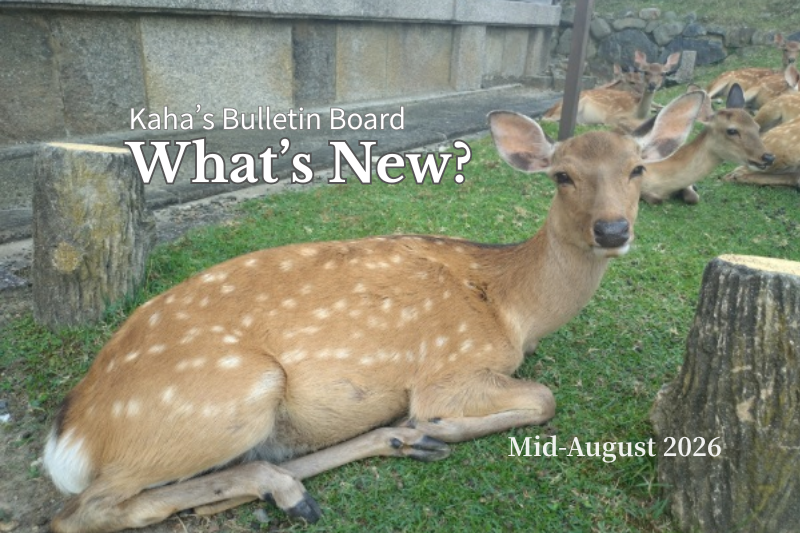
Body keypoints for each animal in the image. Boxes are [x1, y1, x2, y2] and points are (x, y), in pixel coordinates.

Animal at [41, 93, 705, 533]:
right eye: (562, 175)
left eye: (637, 168)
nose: (612, 229)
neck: (513, 308)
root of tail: (68, 437)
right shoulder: (450, 369)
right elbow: (543, 399)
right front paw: (439, 426)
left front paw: (424, 434)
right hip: (229, 395)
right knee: (81, 512)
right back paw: (299, 483)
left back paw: (382, 447)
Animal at [542, 51, 680, 128]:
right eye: (646, 72)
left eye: (663, 73)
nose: (652, 85)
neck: (638, 114)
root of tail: (550, 110)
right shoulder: (613, 116)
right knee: (545, 119)